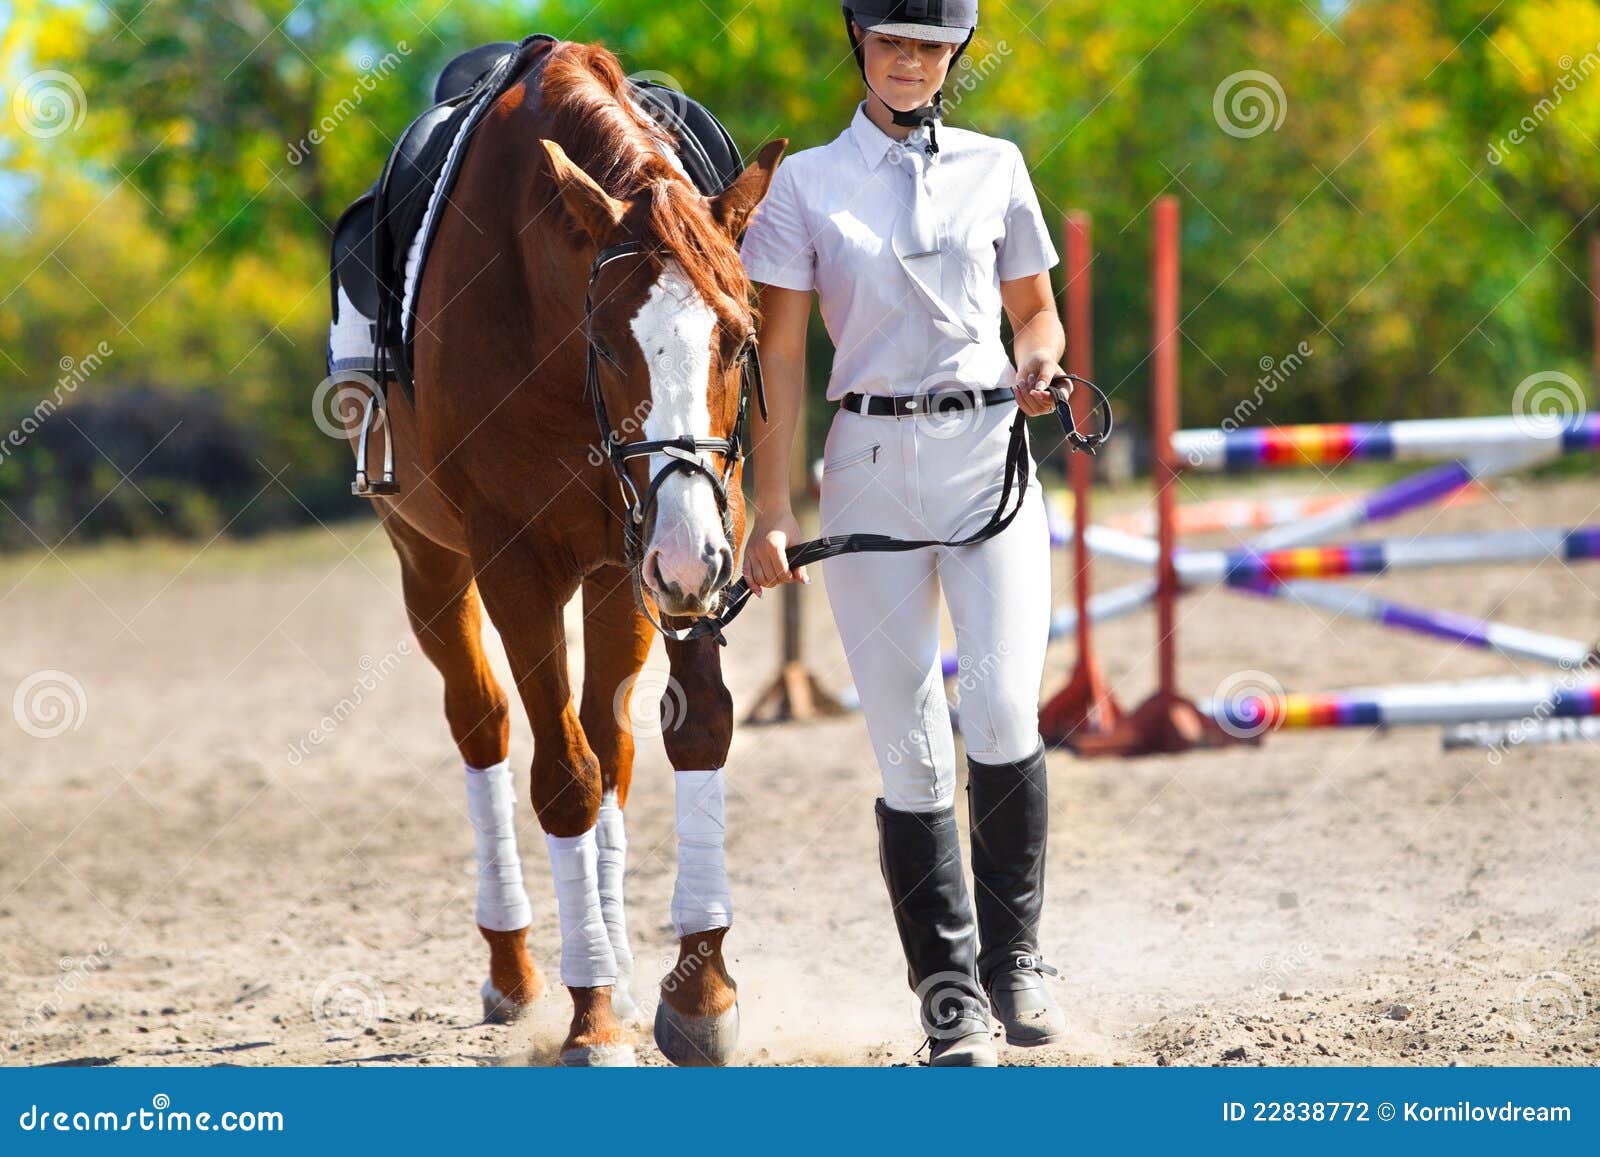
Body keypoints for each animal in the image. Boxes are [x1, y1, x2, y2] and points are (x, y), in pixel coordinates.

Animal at [340, 39, 785, 1066]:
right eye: (608, 343)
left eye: (740, 337)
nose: (690, 561)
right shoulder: (517, 563)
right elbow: (565, 780)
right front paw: (592, 1017)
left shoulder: (662, 553)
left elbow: (689, 731)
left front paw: (697, 991)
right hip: (431, 563)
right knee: (486, 725)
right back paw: (519, 972)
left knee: (611, 738)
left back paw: (615, 952)